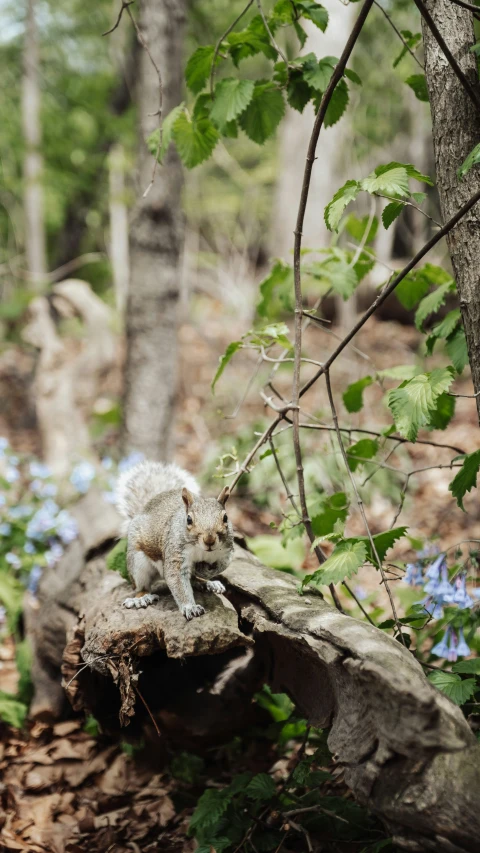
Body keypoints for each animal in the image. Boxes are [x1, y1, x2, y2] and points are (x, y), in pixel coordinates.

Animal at [117, 460, 235, 620]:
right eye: (189, 519)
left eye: (225, 518)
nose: (209, 540)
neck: (202, 550)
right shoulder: (176, 554)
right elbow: (177, 580)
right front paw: (190, 607)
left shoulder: (226, 552)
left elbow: (222, 565)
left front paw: (205, 572)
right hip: (137, 561)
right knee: (141, 586)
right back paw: (141, 598)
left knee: (193, 580)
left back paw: (209, 583)